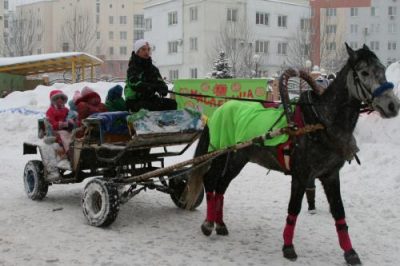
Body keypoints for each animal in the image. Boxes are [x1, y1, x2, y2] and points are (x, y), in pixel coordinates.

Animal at [184, 44, 400, 266]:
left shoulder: (331, 175)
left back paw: (220, 224)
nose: (392, 105)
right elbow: (294, 208)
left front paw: (350, 252)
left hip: (238, 159)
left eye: (382, 69)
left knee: (221, 186)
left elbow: (339, 211)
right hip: (220, 153)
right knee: (211, 182)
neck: (318, 122)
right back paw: (208, 224)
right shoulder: (301, 175)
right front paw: (288, 246)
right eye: (364, 72)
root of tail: (220, 109)